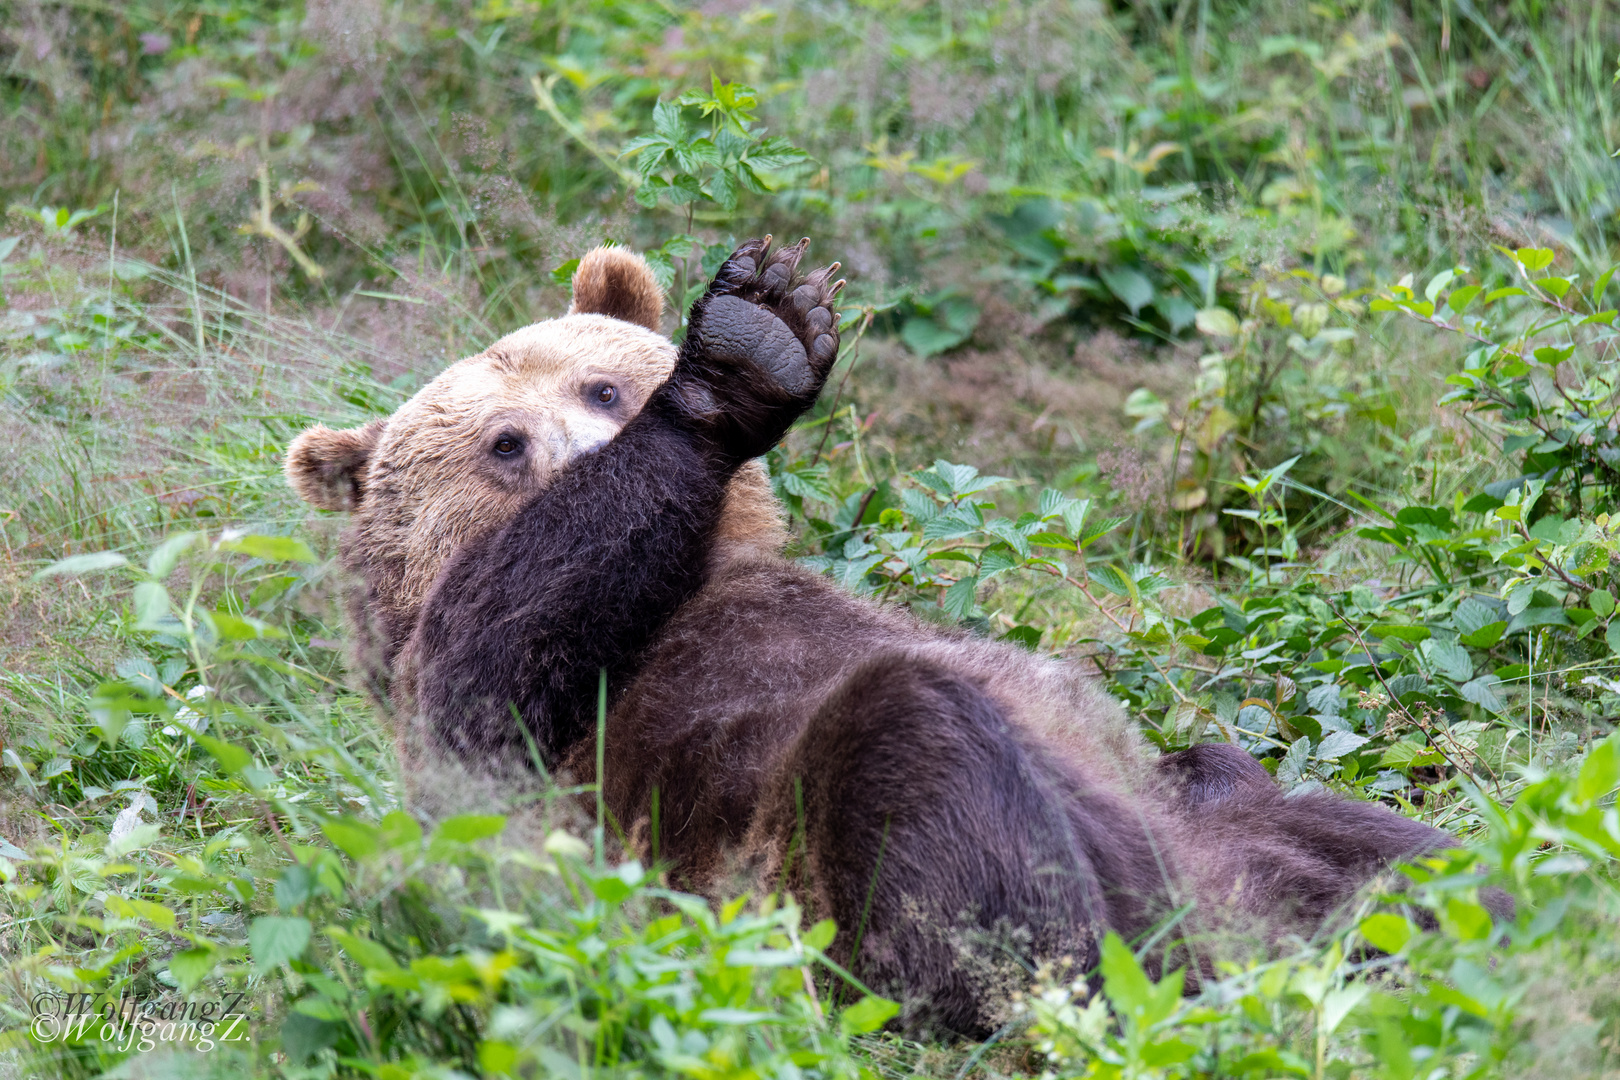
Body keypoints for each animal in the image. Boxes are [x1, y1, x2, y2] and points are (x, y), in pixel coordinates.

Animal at [288, 238, 1458, 1036]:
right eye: (504, 444)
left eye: (600, 383)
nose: (583, 447)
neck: (698, 574)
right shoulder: (523, 724)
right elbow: (500, 658)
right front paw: (747, 347)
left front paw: (769, 314)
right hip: (803, 861)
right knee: (935, 793)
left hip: (1221, 823)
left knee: (1344, 831)